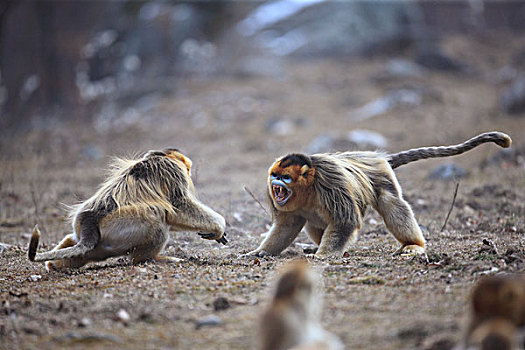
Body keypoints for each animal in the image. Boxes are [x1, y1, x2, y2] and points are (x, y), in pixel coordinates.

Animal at [28, 148, 225, 270]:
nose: (189, 169)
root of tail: (88, 223)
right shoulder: (173, 171)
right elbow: (178, 206)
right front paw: (219, 227)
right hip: (119, 227)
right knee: (155, 223)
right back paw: (149, 259)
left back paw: (55, 264)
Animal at [248, 131, 510, 258]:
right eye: (274, 175)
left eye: (285, 177)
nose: (274, 181)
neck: (308, 187)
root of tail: (374, 157)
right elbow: (288, 224)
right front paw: (261, 253)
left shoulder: (330, 181)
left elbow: (346, 221)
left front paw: (324, 256)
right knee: (314, 221)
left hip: (382, 175)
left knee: (389, 201)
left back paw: (413, 245)